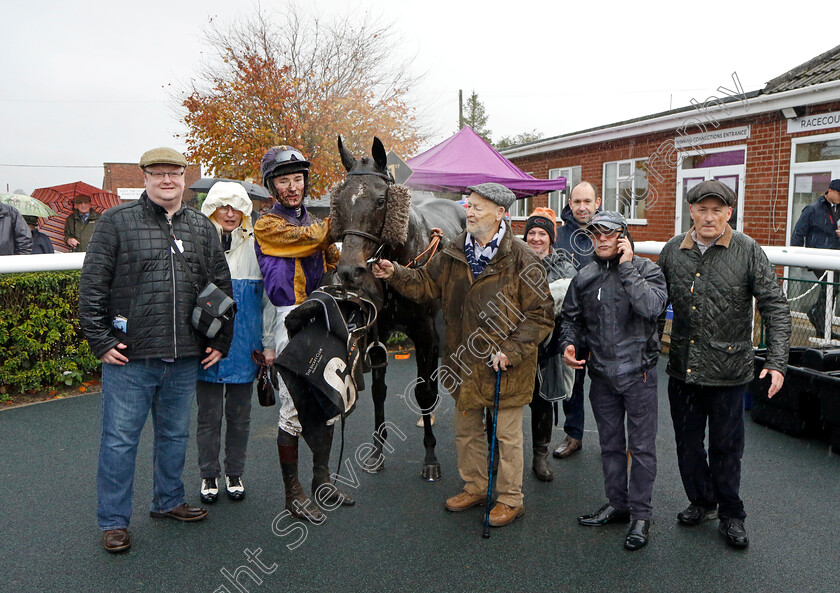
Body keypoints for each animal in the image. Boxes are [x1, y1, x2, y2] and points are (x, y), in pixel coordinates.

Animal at [332, 136, 466, 478]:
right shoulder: (377, 334)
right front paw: (377, 452)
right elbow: (379, 392)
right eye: (340, 201)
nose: (350, 271)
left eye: (381, 201)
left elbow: (423, 391)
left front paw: (430, 457)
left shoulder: (424, 333)